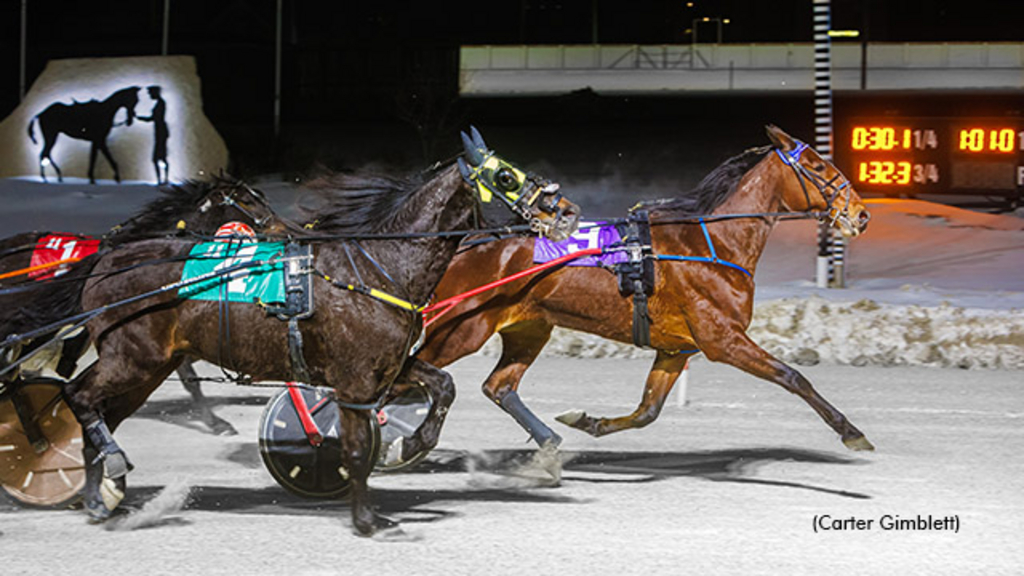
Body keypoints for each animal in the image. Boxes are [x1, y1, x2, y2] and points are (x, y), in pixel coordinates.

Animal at [413, 124, 872, 457]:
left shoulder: (676, 348)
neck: (713, 244)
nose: (861, 214)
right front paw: (851, 431)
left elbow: (647, 411)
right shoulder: (723, 340)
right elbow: (793, 377)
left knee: (497, 386)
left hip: (528, 328)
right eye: (818, 167)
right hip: (462, 329)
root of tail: (464, 245)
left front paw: (588, 422)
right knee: (419, 371)